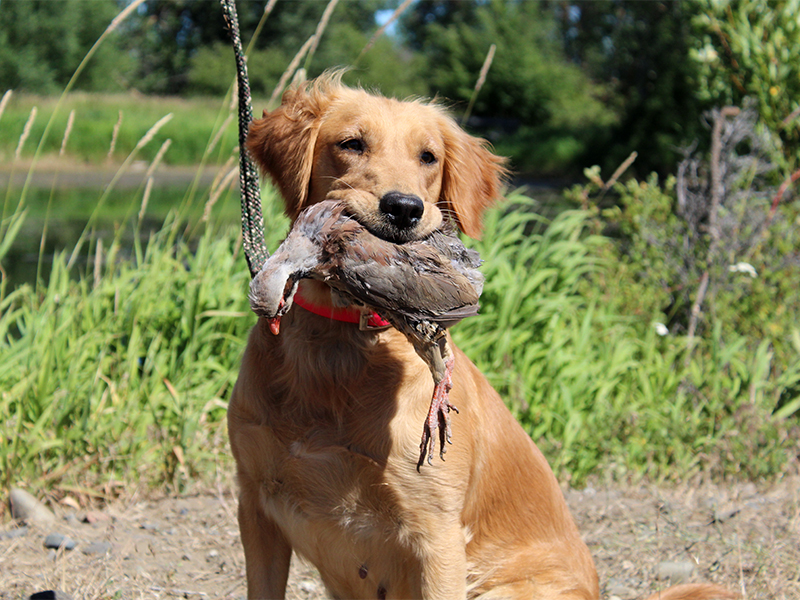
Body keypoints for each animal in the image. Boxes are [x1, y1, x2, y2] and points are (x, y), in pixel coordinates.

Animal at [227, 71, 736, 600]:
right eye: (351, 143)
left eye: (428, 156)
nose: (404, 209)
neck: (336, 355)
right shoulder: (256, 508)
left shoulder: (437, 537)